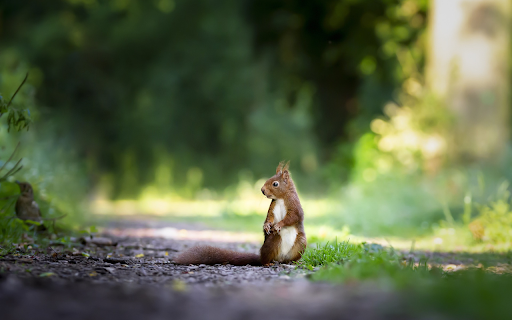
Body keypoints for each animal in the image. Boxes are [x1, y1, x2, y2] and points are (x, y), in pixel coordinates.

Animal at [174, 161, 306, 266]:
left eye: (275, 184)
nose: (262, 190)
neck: (281, 198)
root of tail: (279, 258)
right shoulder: (272, 207)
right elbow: (270, 217)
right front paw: (266, 226)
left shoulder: (294, 206)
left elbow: (293, 217)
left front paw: (279, 225)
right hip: (273, 241)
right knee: (266, 258)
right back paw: (267, 263)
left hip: (300, 243)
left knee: (290, 257)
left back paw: (292, 262)